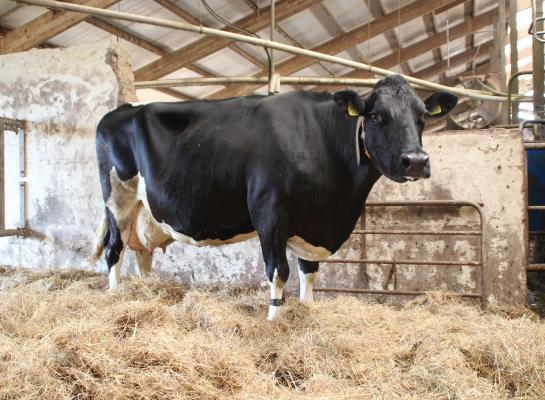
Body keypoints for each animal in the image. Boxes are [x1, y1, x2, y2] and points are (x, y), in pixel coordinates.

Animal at [91, 75, 456, 318]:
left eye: (423, 116)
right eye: (377, 115)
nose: (416, 161)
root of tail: (117, 111)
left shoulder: (312, 223)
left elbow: (309, 271)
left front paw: (307, 311)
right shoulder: (269, 212)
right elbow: (278, 270)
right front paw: (273, 320)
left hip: (145, 211)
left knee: (142, 254)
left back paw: (145, 294)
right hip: (118, 199)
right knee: (114, 250)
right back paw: (114, 296)